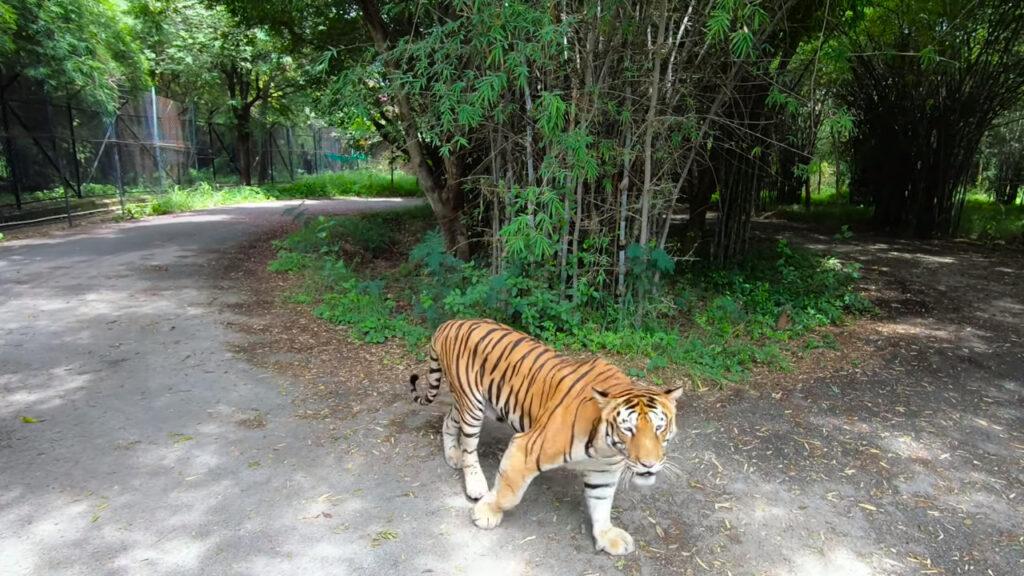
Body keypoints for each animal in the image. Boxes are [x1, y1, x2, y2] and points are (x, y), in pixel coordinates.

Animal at [405, 315, 679, 553]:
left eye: (659, 427)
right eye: (628, 429)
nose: (649, 464)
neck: (607, 448)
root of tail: (450, 322)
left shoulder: (604, 470)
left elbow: (601, 504)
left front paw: (607, 535)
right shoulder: (525, 447)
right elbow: (508, 494)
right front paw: (486, 514)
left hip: (472, 404)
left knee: (449, 421)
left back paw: (453, 456)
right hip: (472, 404)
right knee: (470, 447)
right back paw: (475, 484)